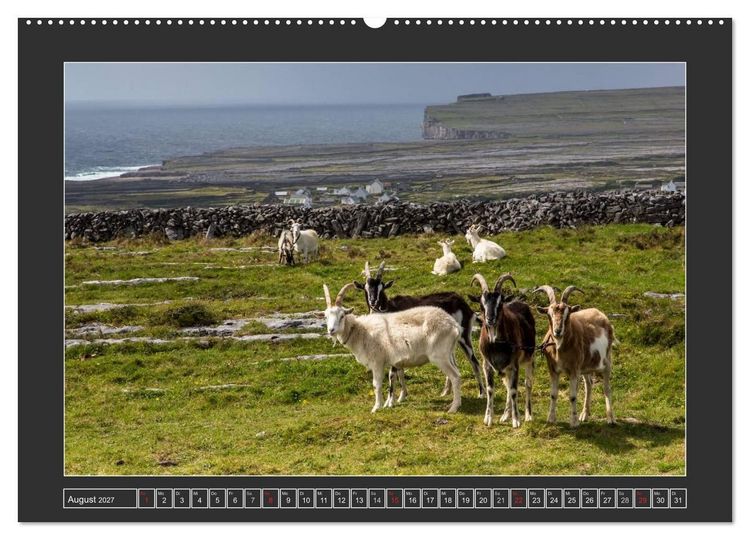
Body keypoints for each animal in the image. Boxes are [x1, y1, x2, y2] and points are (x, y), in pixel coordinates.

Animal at [322, 282, 463, 413]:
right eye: (326, 316)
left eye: (342, 316)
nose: (331, 330)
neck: (361, 331)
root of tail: (454, 325)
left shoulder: (377, 361)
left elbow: (376, 384)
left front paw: (376, 407)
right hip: (448, 354)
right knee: (457, 372)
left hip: (439, 356)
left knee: (455, 376)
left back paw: (454, 408)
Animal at [353, 261, 485, 403]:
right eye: (365, 288)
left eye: (381, 287)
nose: (373, 302)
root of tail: (462, 302)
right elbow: (400, 371)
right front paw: (402, 396)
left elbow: (393, 373)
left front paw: (390, 401)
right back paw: (446, 391)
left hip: (464, 337)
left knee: (474, 362)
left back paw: (481, 393)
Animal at [469, 273, 536, 428]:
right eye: (481, 305)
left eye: (499, 305)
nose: (490, 319)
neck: (496, 344)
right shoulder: (486, 364)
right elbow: (490, 390)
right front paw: (488, 418)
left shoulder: (514, 364)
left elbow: (514, 390)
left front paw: (516, 420)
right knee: (507, 386)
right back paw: (506, 415)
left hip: (529, 359)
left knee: (527, 384)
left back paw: (528, 415)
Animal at [533, 285, 616, 427]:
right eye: (549, 314)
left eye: (568, 314)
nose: (557, 331)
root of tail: (602, 315)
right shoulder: (553, 369)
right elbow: (553, 394)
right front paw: (551, 419)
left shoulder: (574, 369)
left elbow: (572, 396)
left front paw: (574, 422)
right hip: (586, 366)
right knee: (589, 384)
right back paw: (584, 415)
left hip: (606, 360)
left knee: (606, 388)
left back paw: (610, 418)